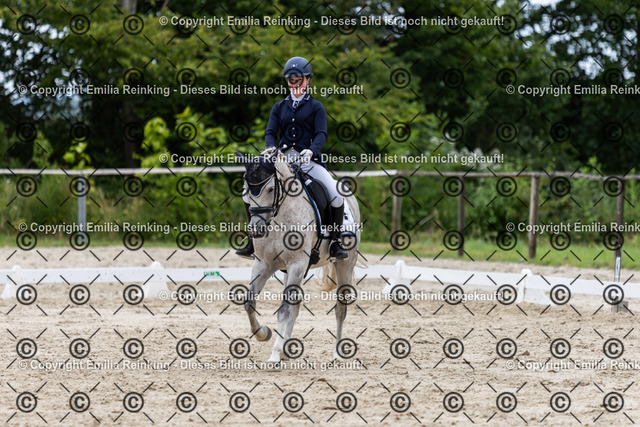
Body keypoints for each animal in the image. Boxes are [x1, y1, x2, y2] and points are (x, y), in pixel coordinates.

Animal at [235, 149, 361, 363]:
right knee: (296, 305)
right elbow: (250, 303)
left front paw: (274, 356)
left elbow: (284, 311)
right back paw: (286, 349)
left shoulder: (297, 264)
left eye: (270, 189)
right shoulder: (264, 264)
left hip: (344, 264)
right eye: (247, 190)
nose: (257, 230)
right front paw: (264, 334)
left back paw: (337, 352)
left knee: (340, 308)